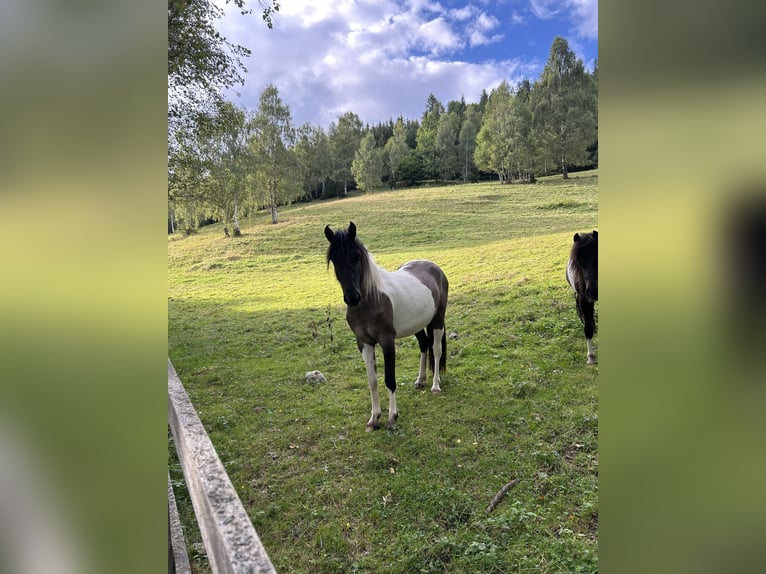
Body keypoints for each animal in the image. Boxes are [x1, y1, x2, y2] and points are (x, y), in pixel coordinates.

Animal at [326, 223, 450, 430]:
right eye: (334, 258)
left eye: (357, 255)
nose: (352, 297)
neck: (372, 300)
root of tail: (433, 267)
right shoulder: (364, 343)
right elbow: (372, 381)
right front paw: (374, 418)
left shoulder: (387, 342)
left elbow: (389, 379)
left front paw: (392, 417)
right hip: (417, 325)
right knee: (424, 345)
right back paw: (420, 380)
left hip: (438, 321)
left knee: (436, 349)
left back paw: (435, 385)